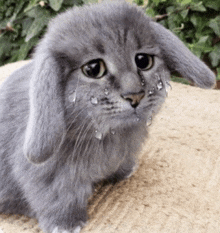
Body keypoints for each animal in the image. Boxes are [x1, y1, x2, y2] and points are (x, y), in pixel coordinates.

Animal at [0, 0, 216, 232]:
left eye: (143, 61)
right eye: (93, 69)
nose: (135, 95)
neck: (110, 133)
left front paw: (125, 172)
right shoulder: (51, 178)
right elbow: (58, 198)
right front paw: (67, 225)